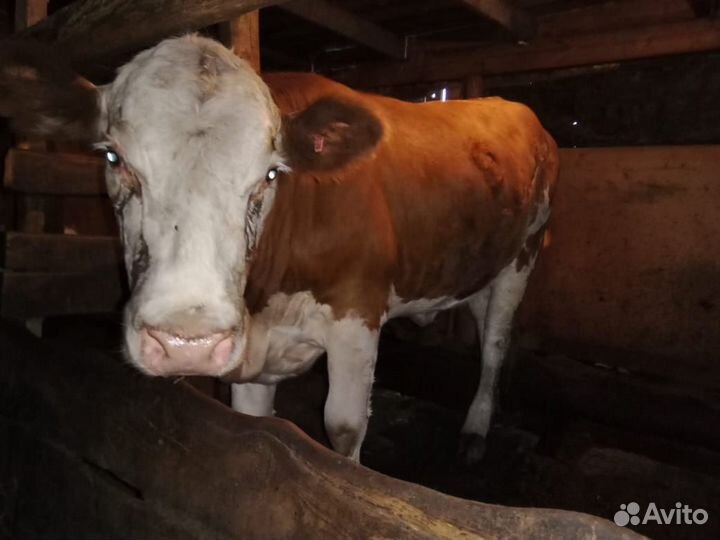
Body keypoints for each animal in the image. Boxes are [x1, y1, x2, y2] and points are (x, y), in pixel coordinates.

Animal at [0, 35, 559, 463]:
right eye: (114, 158)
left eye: (270, 174)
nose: (187, 343)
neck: (268, 301)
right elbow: (254, 421)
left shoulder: (358, 312)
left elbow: (343, 429)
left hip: (523, 257)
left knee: (494, 346)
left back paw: (476, 430)